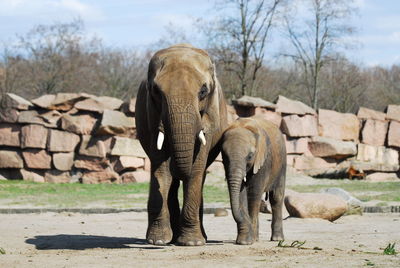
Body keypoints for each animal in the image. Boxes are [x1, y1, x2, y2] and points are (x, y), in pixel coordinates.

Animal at [135, 44, 227, 247]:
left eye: (203, 92)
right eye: (156, 91)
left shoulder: (210, 115)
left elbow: (196, 168)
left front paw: (192, 243)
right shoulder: (151, 113)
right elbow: (161, 169)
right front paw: (157, 241)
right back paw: (171, 237)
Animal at [220, 115, 286, 245]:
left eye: (250, 156)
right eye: (224, 156)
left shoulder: (263, 160)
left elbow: (253, 193)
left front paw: (249, 240)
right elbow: (241, 194)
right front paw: (244, 241)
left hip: (282, 162)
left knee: (276, 197)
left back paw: (277, 239)